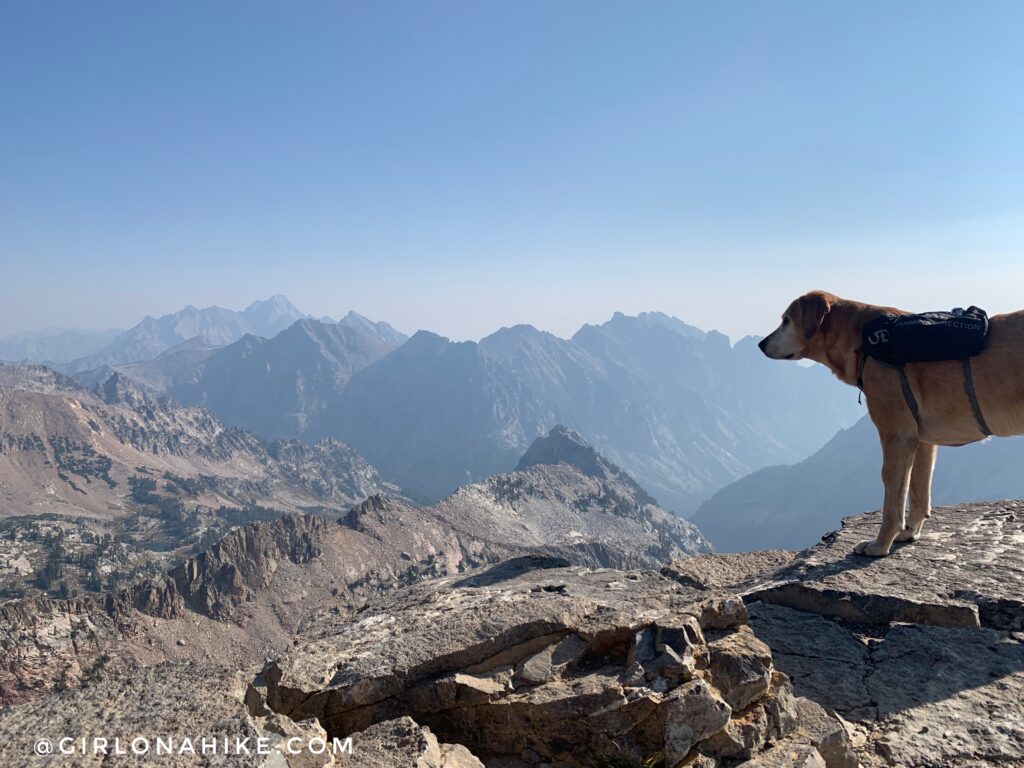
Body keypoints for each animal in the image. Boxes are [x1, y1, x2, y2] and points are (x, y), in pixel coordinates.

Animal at [761, 290, 1024, 557]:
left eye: (786, 320)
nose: (761, 344)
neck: (862, 340)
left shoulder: (896, 437)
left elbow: (892, 497)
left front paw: (880, 544)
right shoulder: (922, 441)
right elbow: (918, 492)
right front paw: (909, 532)